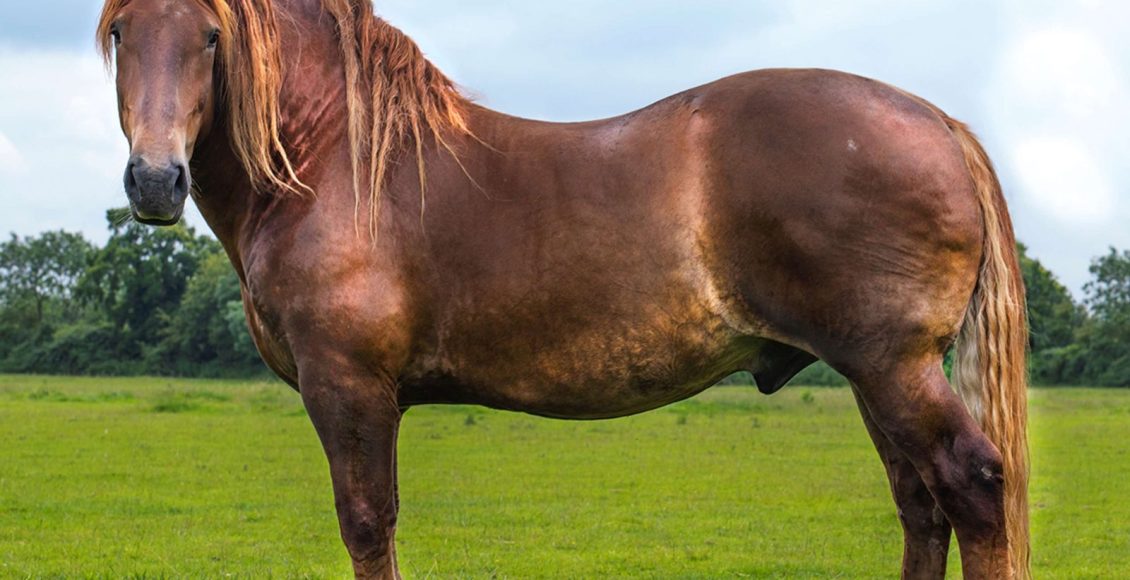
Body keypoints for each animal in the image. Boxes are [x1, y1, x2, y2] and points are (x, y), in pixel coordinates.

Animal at [99, 2, 1035, 576]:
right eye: (119, 32)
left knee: (972, 487)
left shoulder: (348, 388)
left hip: (892, 370)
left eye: (210, 35)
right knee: (922, 507)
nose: (155, 180)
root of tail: (935, 120)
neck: (336, 162)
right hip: (877, 377)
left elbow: (367, 524)